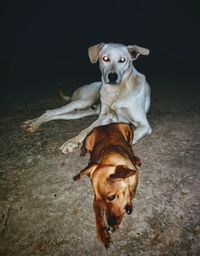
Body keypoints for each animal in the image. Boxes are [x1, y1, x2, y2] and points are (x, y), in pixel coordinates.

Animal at [22, 43, 152, 153]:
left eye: (122, 60)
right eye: (105, 58)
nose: (112, 77)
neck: (117, 91)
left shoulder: (144, 125)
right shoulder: (105, 116)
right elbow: (86, 130)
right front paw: (72, 142)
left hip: (80, 112)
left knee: (53, 115)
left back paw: (30, 123)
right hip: (82, 102)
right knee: (50, 112)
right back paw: (33, 124)